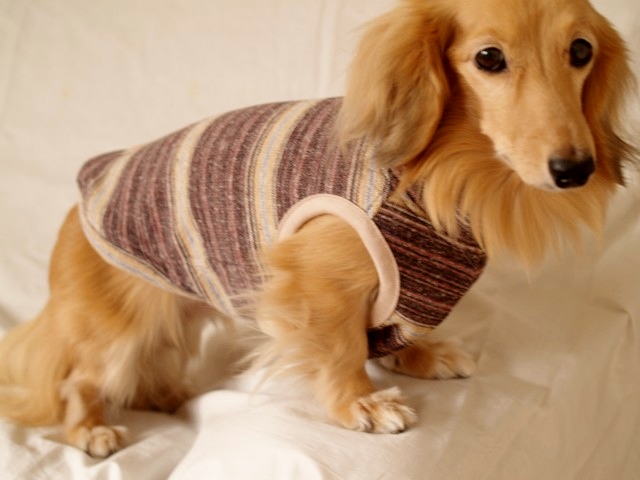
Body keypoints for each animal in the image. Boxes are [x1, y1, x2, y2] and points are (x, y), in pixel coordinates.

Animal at [0, 0, 636, 458]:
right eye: (488, 58)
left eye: (581, 49)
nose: (575, 169)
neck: (443, 173)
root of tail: (82, 193)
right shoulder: (316, 281)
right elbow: (343, 348)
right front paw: (360, 404)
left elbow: (395, 332)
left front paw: (420, 356)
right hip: (118, 327)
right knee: (82, 379)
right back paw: (91, 428)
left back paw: (169, 395)